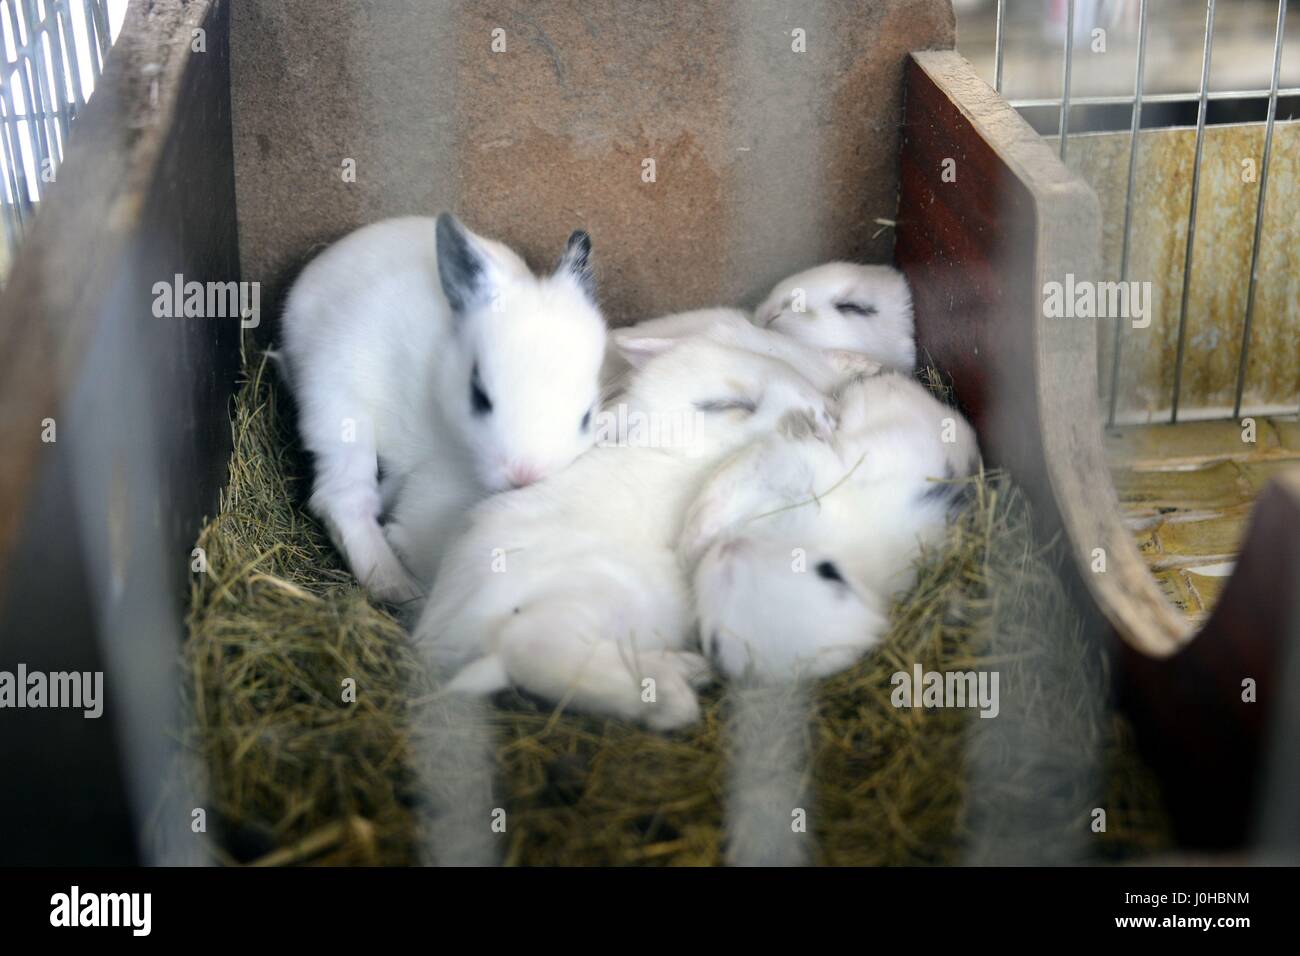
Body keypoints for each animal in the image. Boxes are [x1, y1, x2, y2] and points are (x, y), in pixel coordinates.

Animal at [279, 217, 603, 606]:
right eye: (479, 397)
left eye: (587, 416)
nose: (524, 476)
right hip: (337, 414)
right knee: (341, 500)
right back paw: (397, 585)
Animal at [416, 332, 842, 728]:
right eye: (730, 405)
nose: (824, 409)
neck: (678, 455)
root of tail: (452, 634)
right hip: (583, 600)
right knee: (534, 650)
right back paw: (671, 700)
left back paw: (687, 669)